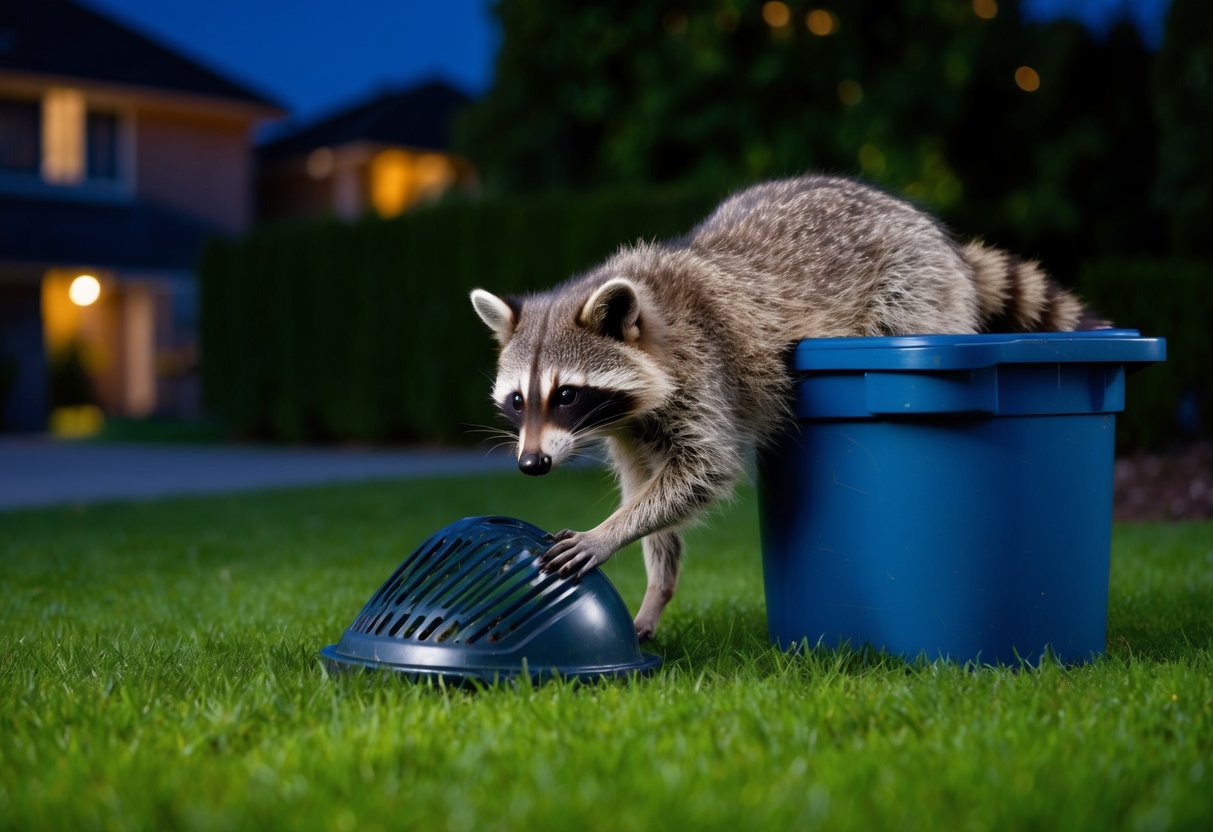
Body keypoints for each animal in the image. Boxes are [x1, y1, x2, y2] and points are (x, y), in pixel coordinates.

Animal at [470, 174, 1099, 639]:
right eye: (518, 400)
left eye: (566, 395)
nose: (531, 465)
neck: (651, 318)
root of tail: (938, 238)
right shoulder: (629, 430)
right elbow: (647, 485)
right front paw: (656, 584)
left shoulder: (704, 371)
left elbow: (703, 471)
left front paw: (610, 532)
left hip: (918, 287)